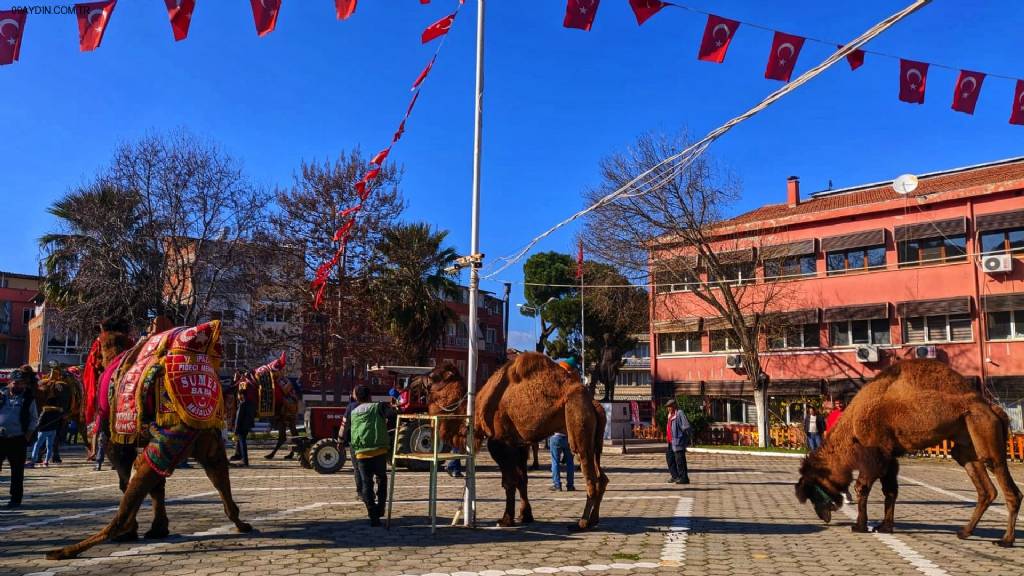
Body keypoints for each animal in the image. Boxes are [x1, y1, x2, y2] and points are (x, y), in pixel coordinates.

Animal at [48, 315, 252, 557]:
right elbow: (158, 485)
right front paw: (158, 529)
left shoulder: (117, 439)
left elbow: (125, 479)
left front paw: (144, 530)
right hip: (205, 441)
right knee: (219, 478)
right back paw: (242, 524)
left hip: (172, 436)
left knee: (126, 505)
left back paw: (70, 549)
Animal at [425, 348, 606, 528]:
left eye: (435, 377)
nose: (422, 379)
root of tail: (594, 404)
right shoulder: (520, 444)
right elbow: (522, 480)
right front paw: (525, 516)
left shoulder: (500, 443)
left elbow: (509, 481)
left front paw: (506, 519)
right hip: (595, 441)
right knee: (602, 477)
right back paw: (594, 519)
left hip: (577, 423)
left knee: (591, 476)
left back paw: (583, 522)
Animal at [794, 356, 1019, 545]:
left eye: (812, 491)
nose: (823, 516)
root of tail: (994, 409)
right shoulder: (890, 457)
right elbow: (891, 491)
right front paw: (885, 526)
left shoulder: (875, 453)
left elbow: (862, 487)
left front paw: (859, 525)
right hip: (966, 445)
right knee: (986, 489)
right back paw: (965, 532)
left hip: (982, 429)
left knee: (1006, 483)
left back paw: (1005, 540)